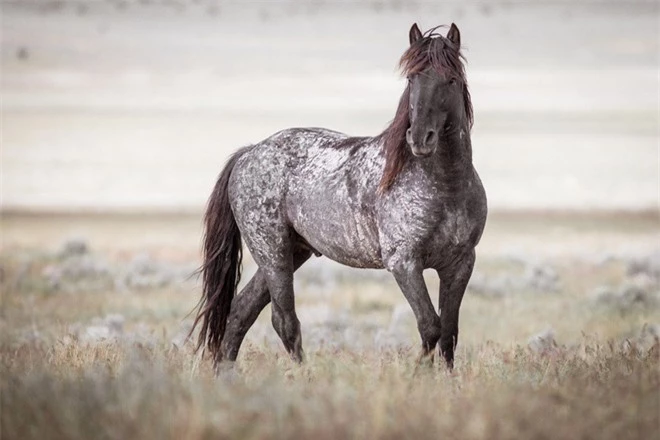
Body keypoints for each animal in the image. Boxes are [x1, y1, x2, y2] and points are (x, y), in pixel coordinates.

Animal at [189, 22, 484, 370]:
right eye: (412, 78)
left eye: (451, 79)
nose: (420, 138)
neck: (445, 186)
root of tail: (249, 153)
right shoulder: (404, 263)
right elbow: (430, 326)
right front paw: (418, 375)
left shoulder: (460, 264)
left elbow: (449, 333)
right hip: (272, 253)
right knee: (284, 321)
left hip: (290, 253)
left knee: (240, 312)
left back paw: (226, 375)